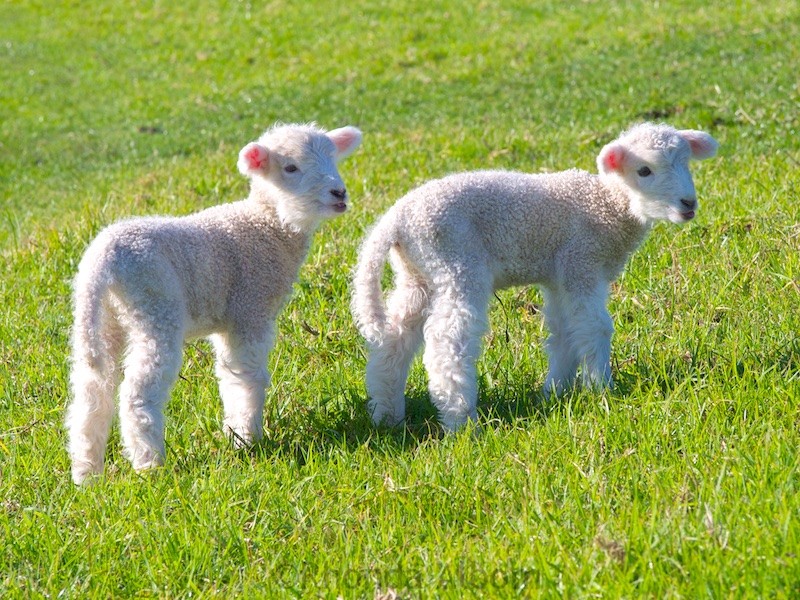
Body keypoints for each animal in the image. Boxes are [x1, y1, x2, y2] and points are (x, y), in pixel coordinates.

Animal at [69, 120, 362, 482]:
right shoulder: (250, 308)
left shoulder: (228, 321)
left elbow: (228, 376)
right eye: (290, 168)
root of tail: (102, 261)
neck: (266, 224)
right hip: (155, 304)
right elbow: (247, 377)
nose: (339, 193)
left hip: (105, 317)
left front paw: (236, 433)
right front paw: (247, 439)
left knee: (92, 389)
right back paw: (150, 465)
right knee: (137, 393)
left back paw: (86, 472)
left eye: (333, 160)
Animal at [350, 122, 720, 432]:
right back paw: (461, 419)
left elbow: (564, 332)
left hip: (418, 274)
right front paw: (602, 389)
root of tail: (395, 220)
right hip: (457, 261)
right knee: (447, 339)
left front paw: (557, 391)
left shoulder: (560, 276)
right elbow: (594, 326)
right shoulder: (581, 261)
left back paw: (387, 415)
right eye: (644, 171)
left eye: (686, 164)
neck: (607, 205)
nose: (688, 203)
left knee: (394, 339)